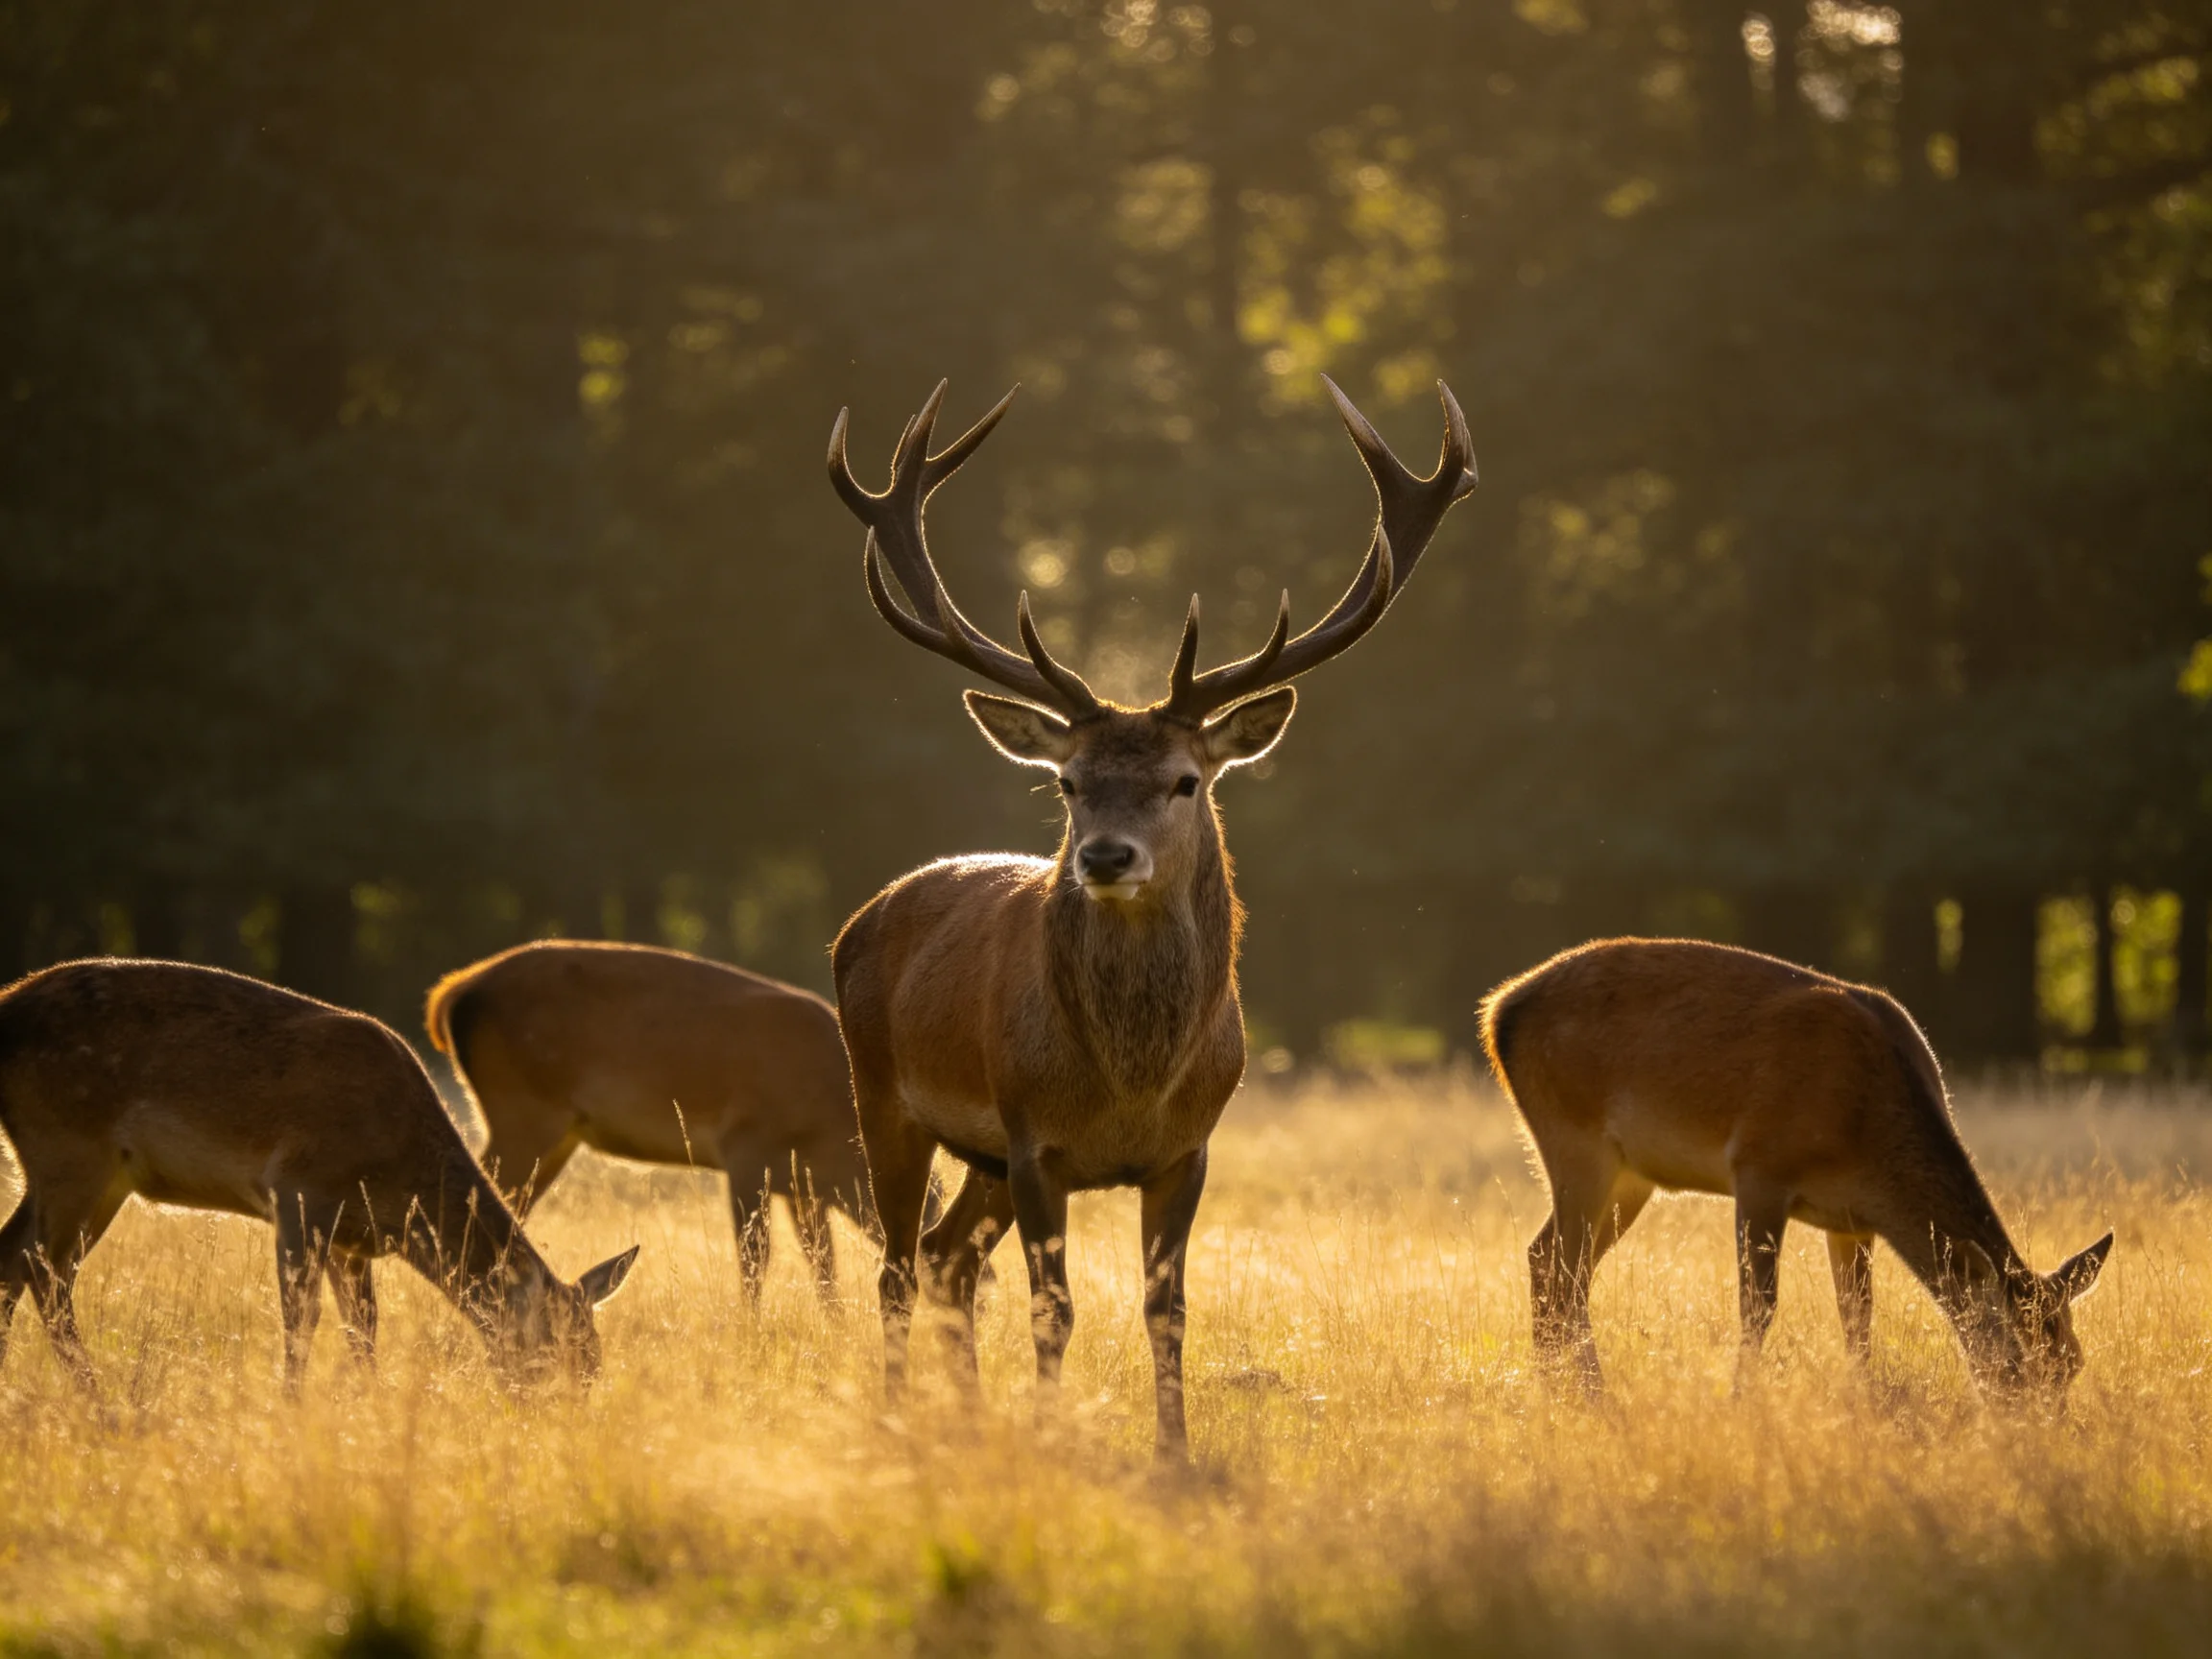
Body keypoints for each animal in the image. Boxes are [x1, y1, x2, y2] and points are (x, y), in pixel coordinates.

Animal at [0, 959, 639, 1391]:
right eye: (553, 1356)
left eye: (594, 1363)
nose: (560, 1419)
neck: (397, 1179)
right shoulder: (298, 1191)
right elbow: (300, 1320)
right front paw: (293, 1407)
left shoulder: (352, 1240)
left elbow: (363, 1327)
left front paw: (367, 1403)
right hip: (70, 1149)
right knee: (44, 1271)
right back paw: (98, 1399)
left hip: (81, 1171)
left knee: (18, 1257)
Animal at [426, 939, 869, 1305]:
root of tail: (452, 995)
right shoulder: (746, 1146)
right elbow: (755, 1261)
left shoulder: (802, 1185)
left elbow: (823, 1265)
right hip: (521, 1112)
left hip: (551, 1133)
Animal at [824, 375, 1477, 1461]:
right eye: (1069, 781)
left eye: (1183, 780)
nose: (1103, 857)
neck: (1130, 1081)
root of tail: (864, 916)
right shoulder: (1033, 1140)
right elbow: (1054, 1308)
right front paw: (1052, 1435)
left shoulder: (1188, 1149)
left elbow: (1166, 1308)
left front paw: (1174, 1451)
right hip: (885, 1096)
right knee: (900, 1267)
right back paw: (895, 1415)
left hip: (978, 1157)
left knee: (949, 1263)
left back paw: (965, 1423)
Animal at [1480, 937, 2113, 1397]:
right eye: (2014, 1364)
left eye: (2073, 1364)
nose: (2041, 1432)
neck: (1864, 1136)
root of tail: (1498, 1012)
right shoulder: (1760, 1166)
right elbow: (1757, 1305)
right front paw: (1742, 1400)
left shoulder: (1852, 1220)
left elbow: (1857, 1318)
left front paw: (1862, 1403)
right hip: (1574, 1140)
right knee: (1558, 1267)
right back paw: (1587, 1394)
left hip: (1629, 1174)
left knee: (1551, 1261)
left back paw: (1565, 1388)